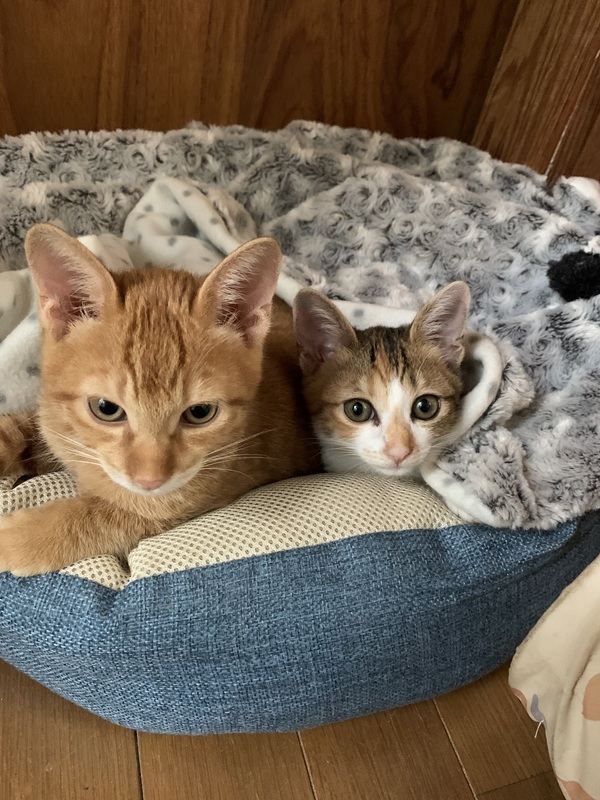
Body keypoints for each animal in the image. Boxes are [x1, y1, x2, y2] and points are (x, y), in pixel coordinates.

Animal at [0, 224, 319, 575]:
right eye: (106, 409)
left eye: (200, 412)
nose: (149, 480)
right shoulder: (49, 420)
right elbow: (16, 431)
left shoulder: (166, 509)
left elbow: (96, 517)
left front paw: (17, 538)